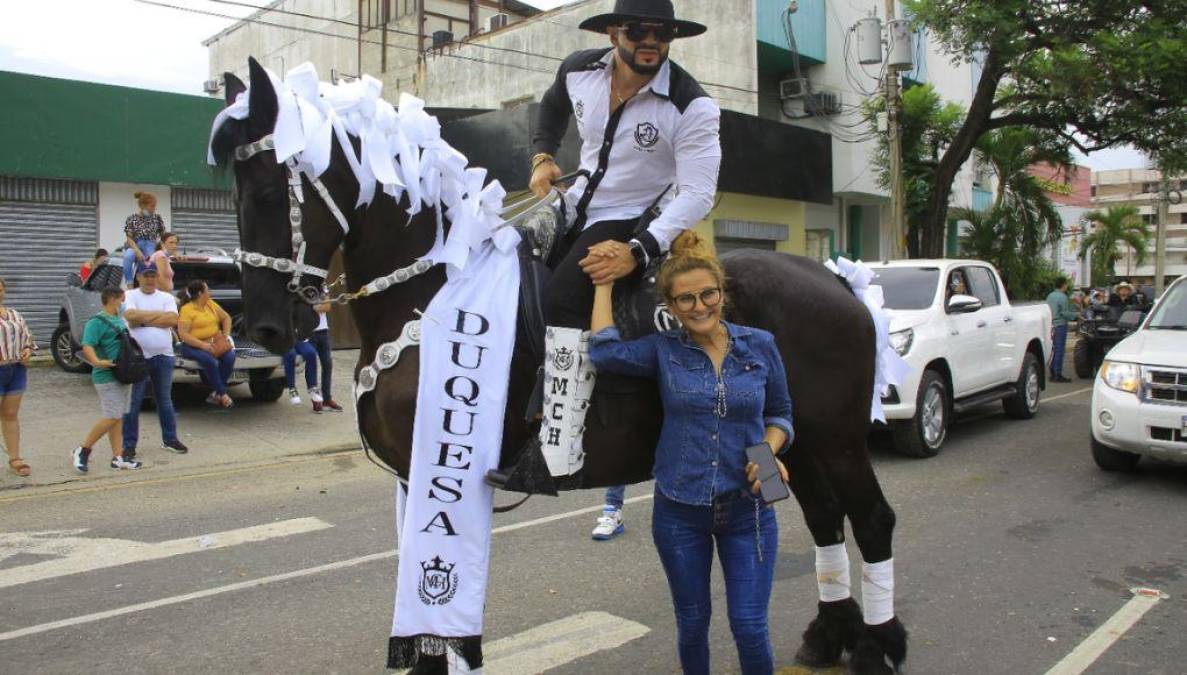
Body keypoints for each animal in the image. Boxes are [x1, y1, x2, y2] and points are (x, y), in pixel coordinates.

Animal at [211, 59, 906, 673]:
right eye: (236, 195)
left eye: (270, 192)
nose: (265, 327)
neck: (432, 291)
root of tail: (836, 280)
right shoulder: (413, 478)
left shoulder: (434, 470)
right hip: (796, 439)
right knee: (824, 519)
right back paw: (829, 636)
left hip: (838, 440)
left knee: (871, 520)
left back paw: (878, 646)